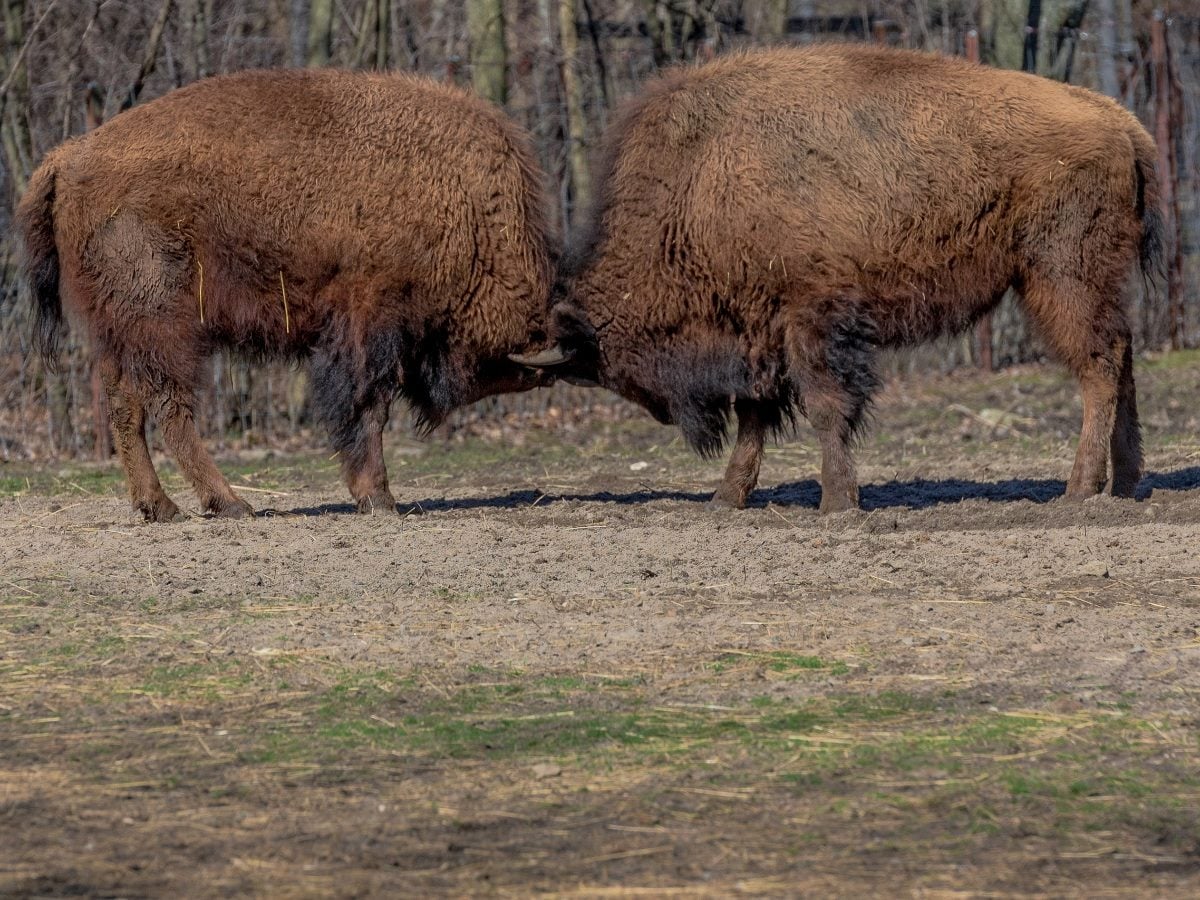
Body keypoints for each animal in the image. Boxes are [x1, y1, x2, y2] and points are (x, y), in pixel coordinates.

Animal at [18, 69, 555, 522]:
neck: (467, 208)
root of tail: (67, 157)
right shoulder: (368, 325)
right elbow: (368, 408)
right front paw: (380, 500)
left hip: (118, 333)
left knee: (126, 407)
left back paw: (162, 508)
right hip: (163, 324)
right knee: (171, 406)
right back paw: (232, 505)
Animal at [516, 45, 1163, 512]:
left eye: (617, 366)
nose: (668, 416)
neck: (697, 182)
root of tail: (1121, 121)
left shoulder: (812, 319)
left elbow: (826, 406)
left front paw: (836, 502)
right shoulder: (762, 333)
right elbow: (757, 415)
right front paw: (727, 498)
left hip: (1060, 276)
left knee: (1099, 366)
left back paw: (1078, 491)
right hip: (1085, 282)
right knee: (1124, 356)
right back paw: (1127, 484)